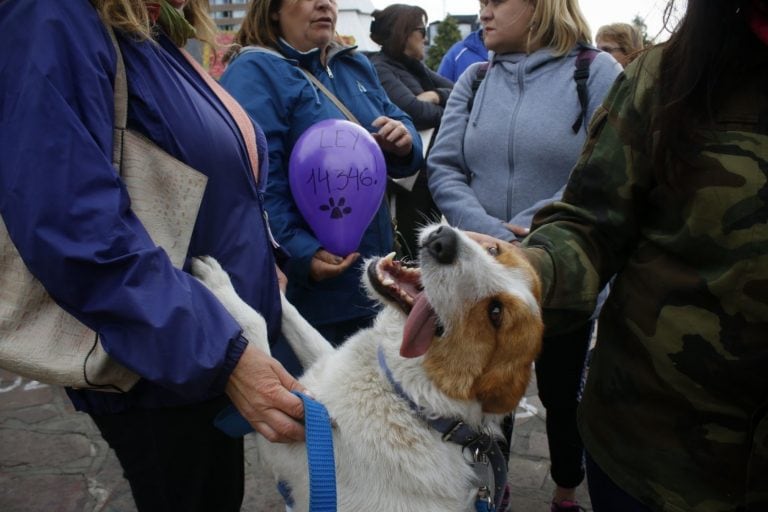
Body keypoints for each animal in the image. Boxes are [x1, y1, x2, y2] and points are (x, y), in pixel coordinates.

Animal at [191, 225, 544, 512]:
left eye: (495, 314)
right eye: (494, 250)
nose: (444, 240)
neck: (407, 396)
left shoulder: (283, 438)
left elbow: (257, 326)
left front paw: (217, 283)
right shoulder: (319, 368)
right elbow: (296, 321)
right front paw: (275, 282)